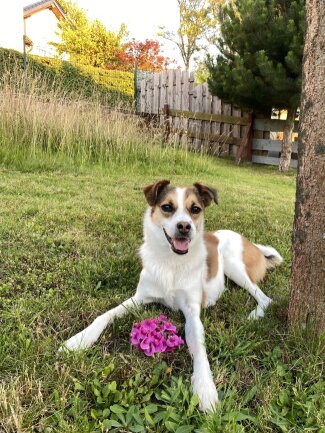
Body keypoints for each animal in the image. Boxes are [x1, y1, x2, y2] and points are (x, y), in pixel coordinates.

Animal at [60, 179, 280, 412]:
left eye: (195, 209)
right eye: (167, 207)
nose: (184, 226)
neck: (172, 262)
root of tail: (252, 244)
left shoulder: (192, 312)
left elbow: (199, 347)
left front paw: (205, 387)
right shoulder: (138, 298)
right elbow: (105, 315)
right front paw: (79, 339)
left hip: (233, 264)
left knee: (265, 297)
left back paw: (256, 314)